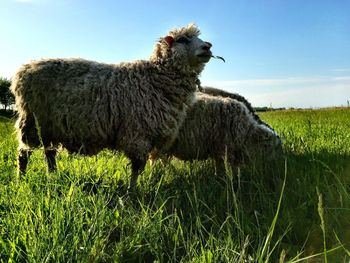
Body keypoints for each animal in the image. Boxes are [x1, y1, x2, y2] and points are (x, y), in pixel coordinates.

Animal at [10, 23, 213, 191]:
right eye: (182, 39)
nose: (208, 47)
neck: (156, 77)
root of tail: (24, 69)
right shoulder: (138, 133)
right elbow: (137, 167)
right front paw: (132, 192)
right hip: (32, 120)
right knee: (24, 154)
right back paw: (21, 180)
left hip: (50, 126)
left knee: (49, 154)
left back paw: (53, 176)